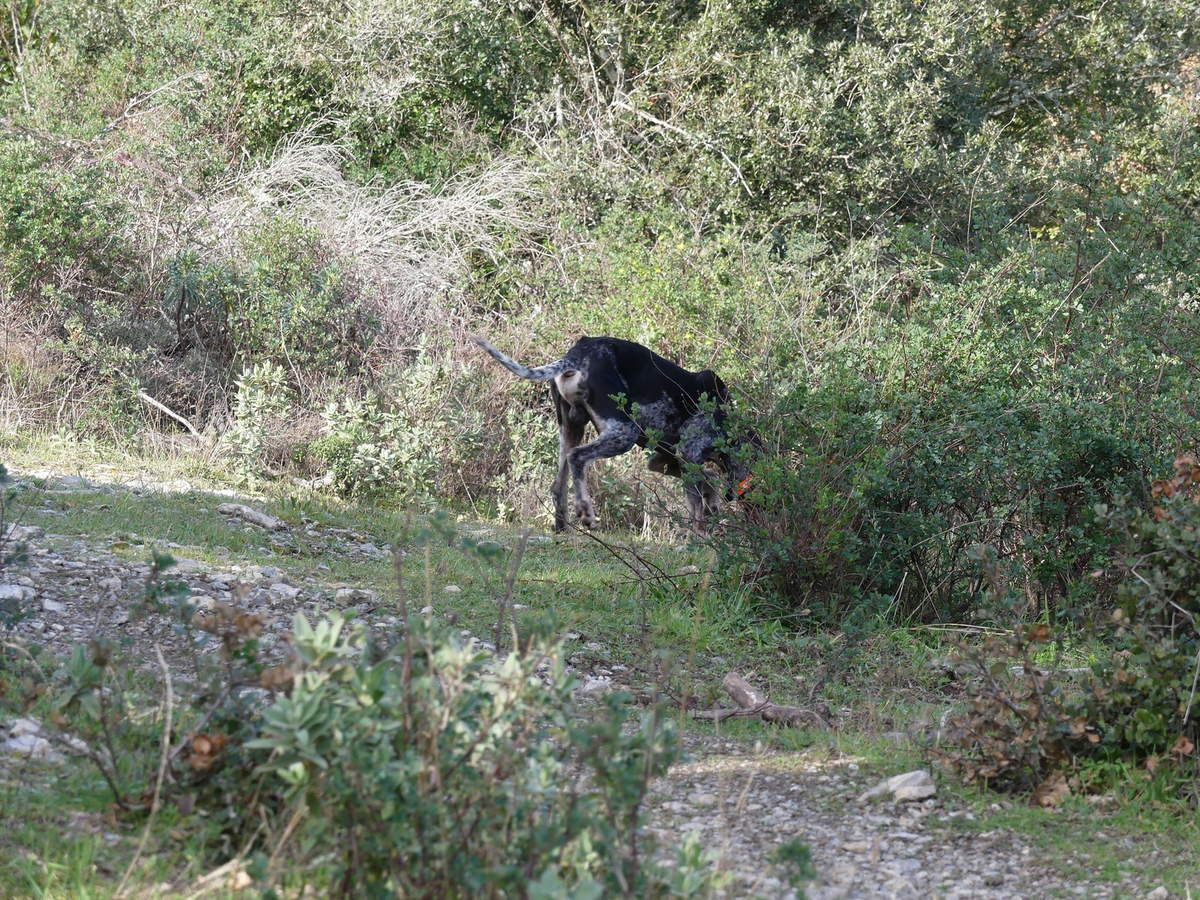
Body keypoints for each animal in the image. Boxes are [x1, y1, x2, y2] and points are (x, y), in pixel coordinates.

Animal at [472, 335, 755, 532]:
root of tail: (576, 355)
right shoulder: (688, 454)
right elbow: (697, 507)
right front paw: (702, 537)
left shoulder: (664, 461)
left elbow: (708, 481)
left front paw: (713, 505)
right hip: (622, 433)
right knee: (577, 458)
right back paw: (586, 511)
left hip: (572, 429)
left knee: (558, 486)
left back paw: (562, 528)